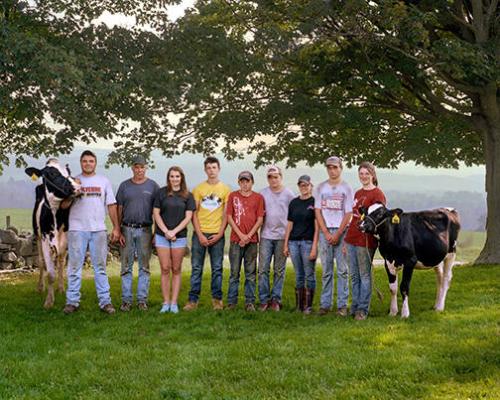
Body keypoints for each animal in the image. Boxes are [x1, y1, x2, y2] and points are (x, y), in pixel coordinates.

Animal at [25, 159, 80, 310]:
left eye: (68, 171)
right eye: (51, 174)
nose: (77, 186)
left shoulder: (67, 239)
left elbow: (63, 266)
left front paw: (61, 289)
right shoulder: (45, 240)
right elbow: (50, 273)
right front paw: (49, 301)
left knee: (60, 262)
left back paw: (60, 288)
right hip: (37, 237)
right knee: (41, 261)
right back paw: (40, 287)